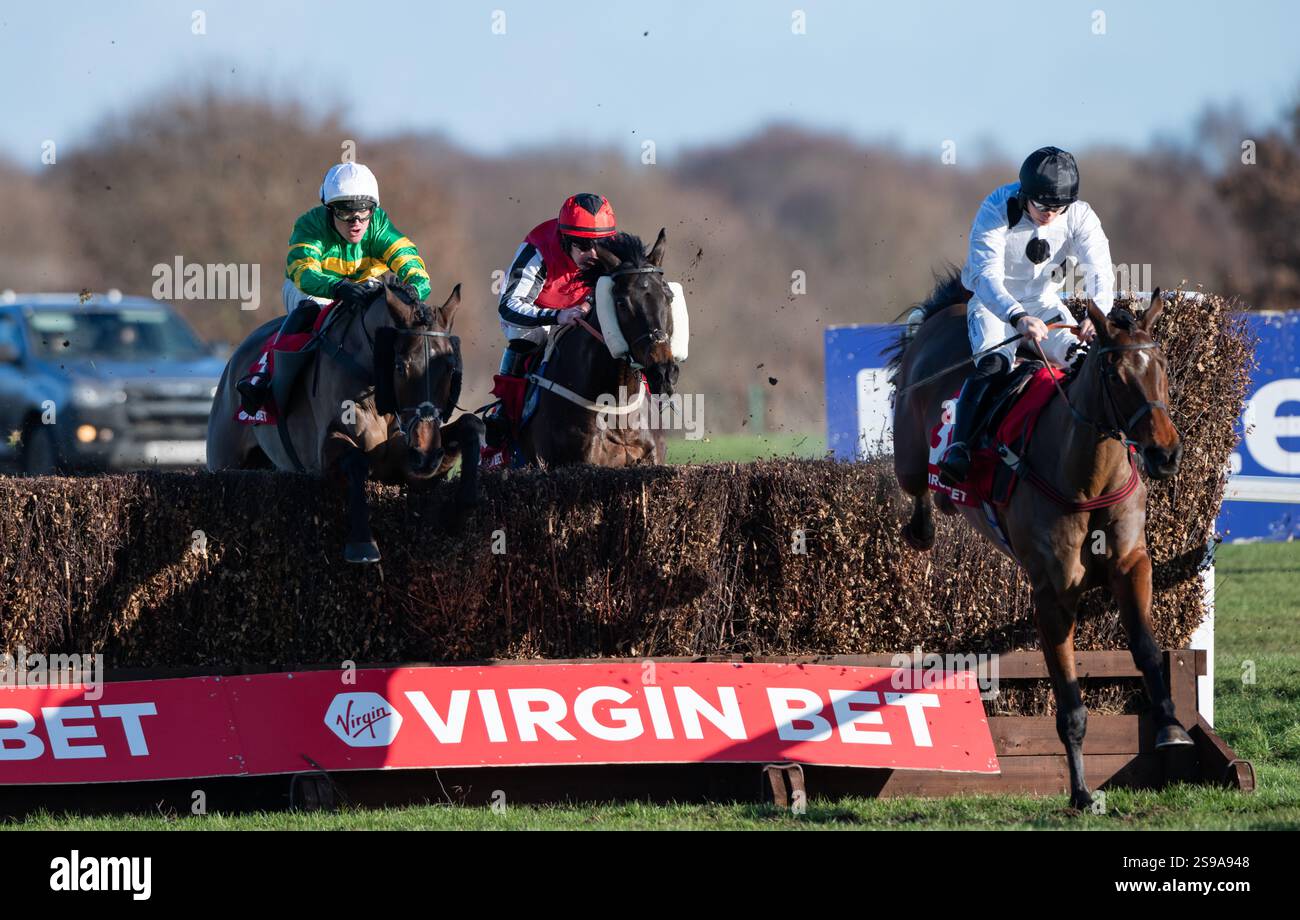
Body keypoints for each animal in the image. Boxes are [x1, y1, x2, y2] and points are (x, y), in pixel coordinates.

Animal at [208, 276, 483, 563]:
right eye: (400, 366)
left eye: (450, 367)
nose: (426, 453)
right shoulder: (326, 455)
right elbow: (356, 460)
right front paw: (363, 545)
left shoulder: (411, 467)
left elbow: (471, 425)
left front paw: (462, 510)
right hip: (225, 459)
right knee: (305, 308)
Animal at [889, 271, 1190, 805]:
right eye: (1115, 376)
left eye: (1162, 369)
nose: (1166, 454)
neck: (1088, 479)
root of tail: (948, 311)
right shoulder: (1054, 590)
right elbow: (1069, 701)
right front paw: (1081, 792)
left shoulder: (1132, 564)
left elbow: (1148, 650)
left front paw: (1171, 727)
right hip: (909, 452)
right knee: (921, 485)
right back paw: (931, 508)